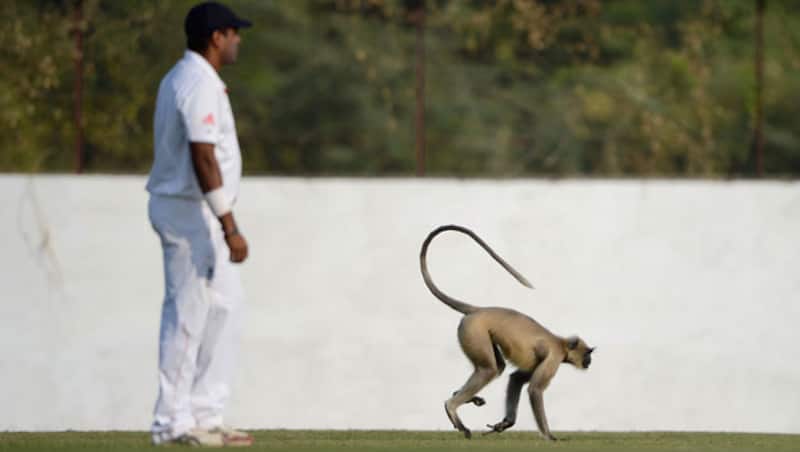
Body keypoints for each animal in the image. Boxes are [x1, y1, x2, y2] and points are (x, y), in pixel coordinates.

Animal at [420, 225, 594, 441]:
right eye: (587, 353)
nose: (589, 362)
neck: (560, 342)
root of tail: (478, 310)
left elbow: (516, 379)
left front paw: (506, 423)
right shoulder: (554, 356)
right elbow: (534, 389)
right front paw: (549, 436)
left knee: (498, 367)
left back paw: (460, 397)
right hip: (474, 331)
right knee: (489, 370)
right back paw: (452, 408)